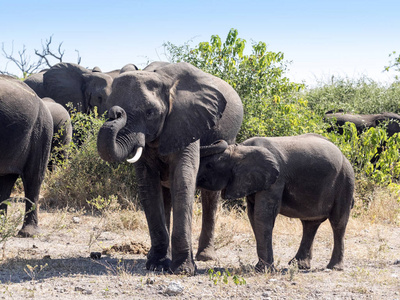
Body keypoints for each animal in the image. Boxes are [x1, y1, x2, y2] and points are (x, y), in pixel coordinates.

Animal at [97, 61, 244, 274]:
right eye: (107, 108)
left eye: (150, 112)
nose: (116, 112)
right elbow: (148, 185)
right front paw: (157, 265)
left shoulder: (187, 121)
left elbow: (182, 179)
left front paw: (183, 270)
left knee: (210, 196)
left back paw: (205, 257)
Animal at [197, 134, 354, 272]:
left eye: (209, 165)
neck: (241, 149)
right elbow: (253, 216)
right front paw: (261, 267)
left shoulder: (276, 180)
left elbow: (263, 215)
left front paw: (263, 270)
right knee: (310, 224)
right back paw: (299, 265)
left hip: (345, 181)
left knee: (338, 222)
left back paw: (334, 268)